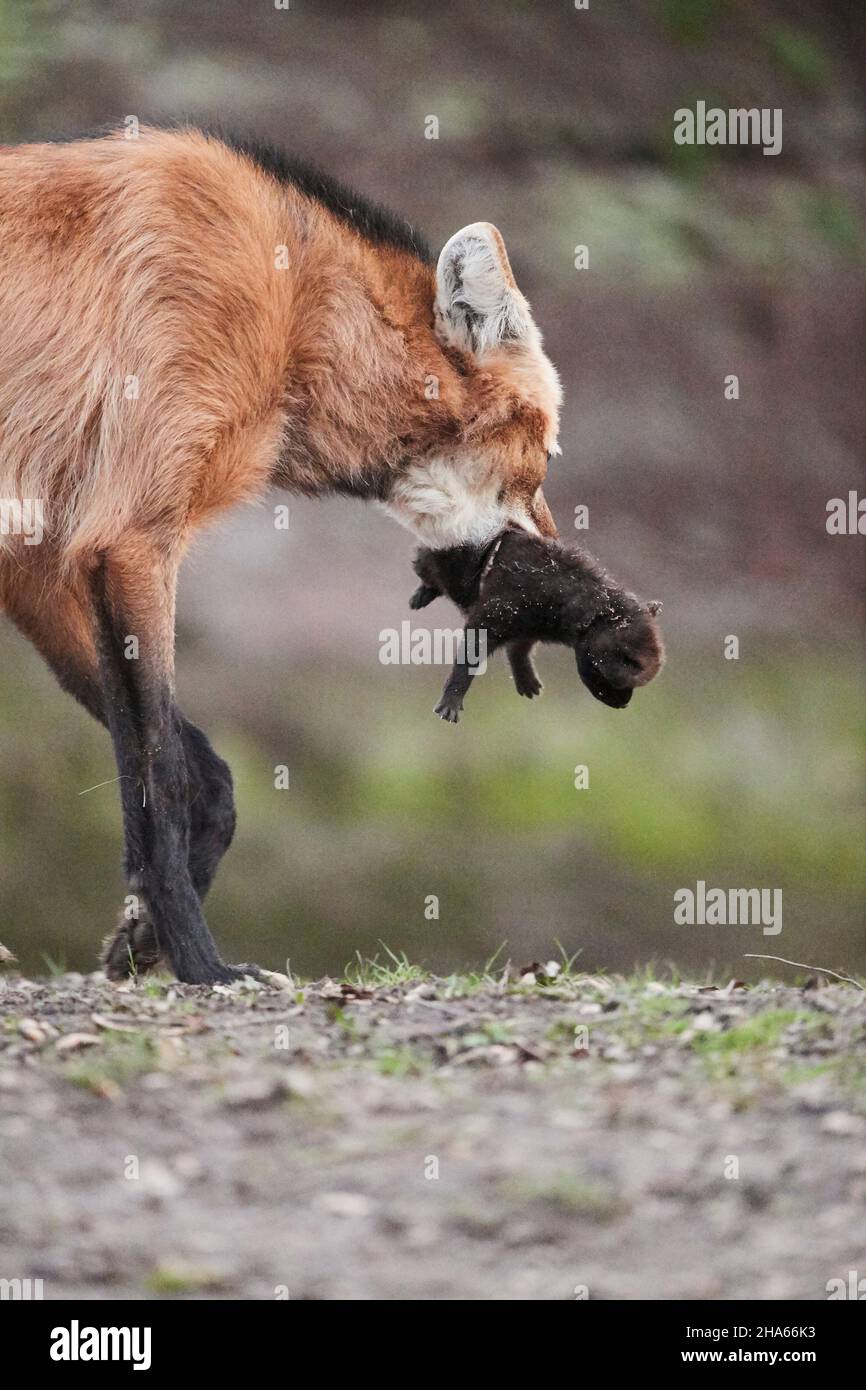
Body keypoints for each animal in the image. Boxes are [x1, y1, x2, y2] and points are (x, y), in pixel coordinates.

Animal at [0, 125, 561, 984]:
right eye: (544, 461)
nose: (566, 564)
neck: (296, 312)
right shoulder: (130, 540)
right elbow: (163, 777)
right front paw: (203, 964)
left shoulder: (47, 561)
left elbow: (207, 774)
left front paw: (143, 938)